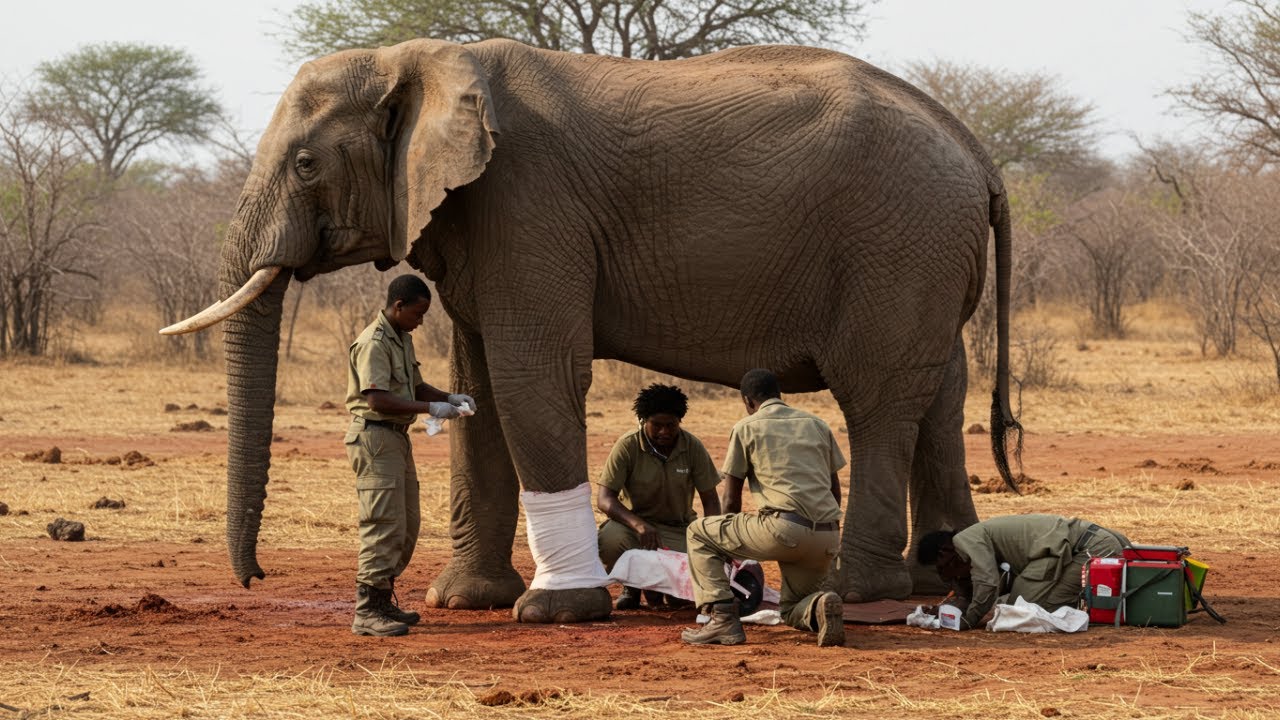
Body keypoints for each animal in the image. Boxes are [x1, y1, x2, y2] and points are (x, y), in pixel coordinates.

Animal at [163, 38, 1021, 622]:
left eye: (306, 165)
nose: (253, 579)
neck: (419, 58)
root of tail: (977, 150)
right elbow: (479, 388)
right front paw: (462, 602)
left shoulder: (528, 205)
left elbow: (532, 378)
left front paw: (552, 611)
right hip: (926, 253)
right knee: (937, 401)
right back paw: (930, 579)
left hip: (897, 246)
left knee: (878, 405)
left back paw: (857, 589)